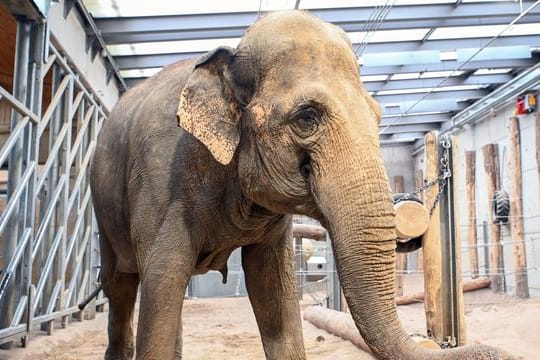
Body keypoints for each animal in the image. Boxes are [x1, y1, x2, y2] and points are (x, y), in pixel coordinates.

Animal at [90, 9, 516, 358]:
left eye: (378, 115)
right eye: (307, 117)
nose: (493, 351)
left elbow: (274, 290)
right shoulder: (162, 185)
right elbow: (162, 280)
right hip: (103, 211)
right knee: (122, 287)